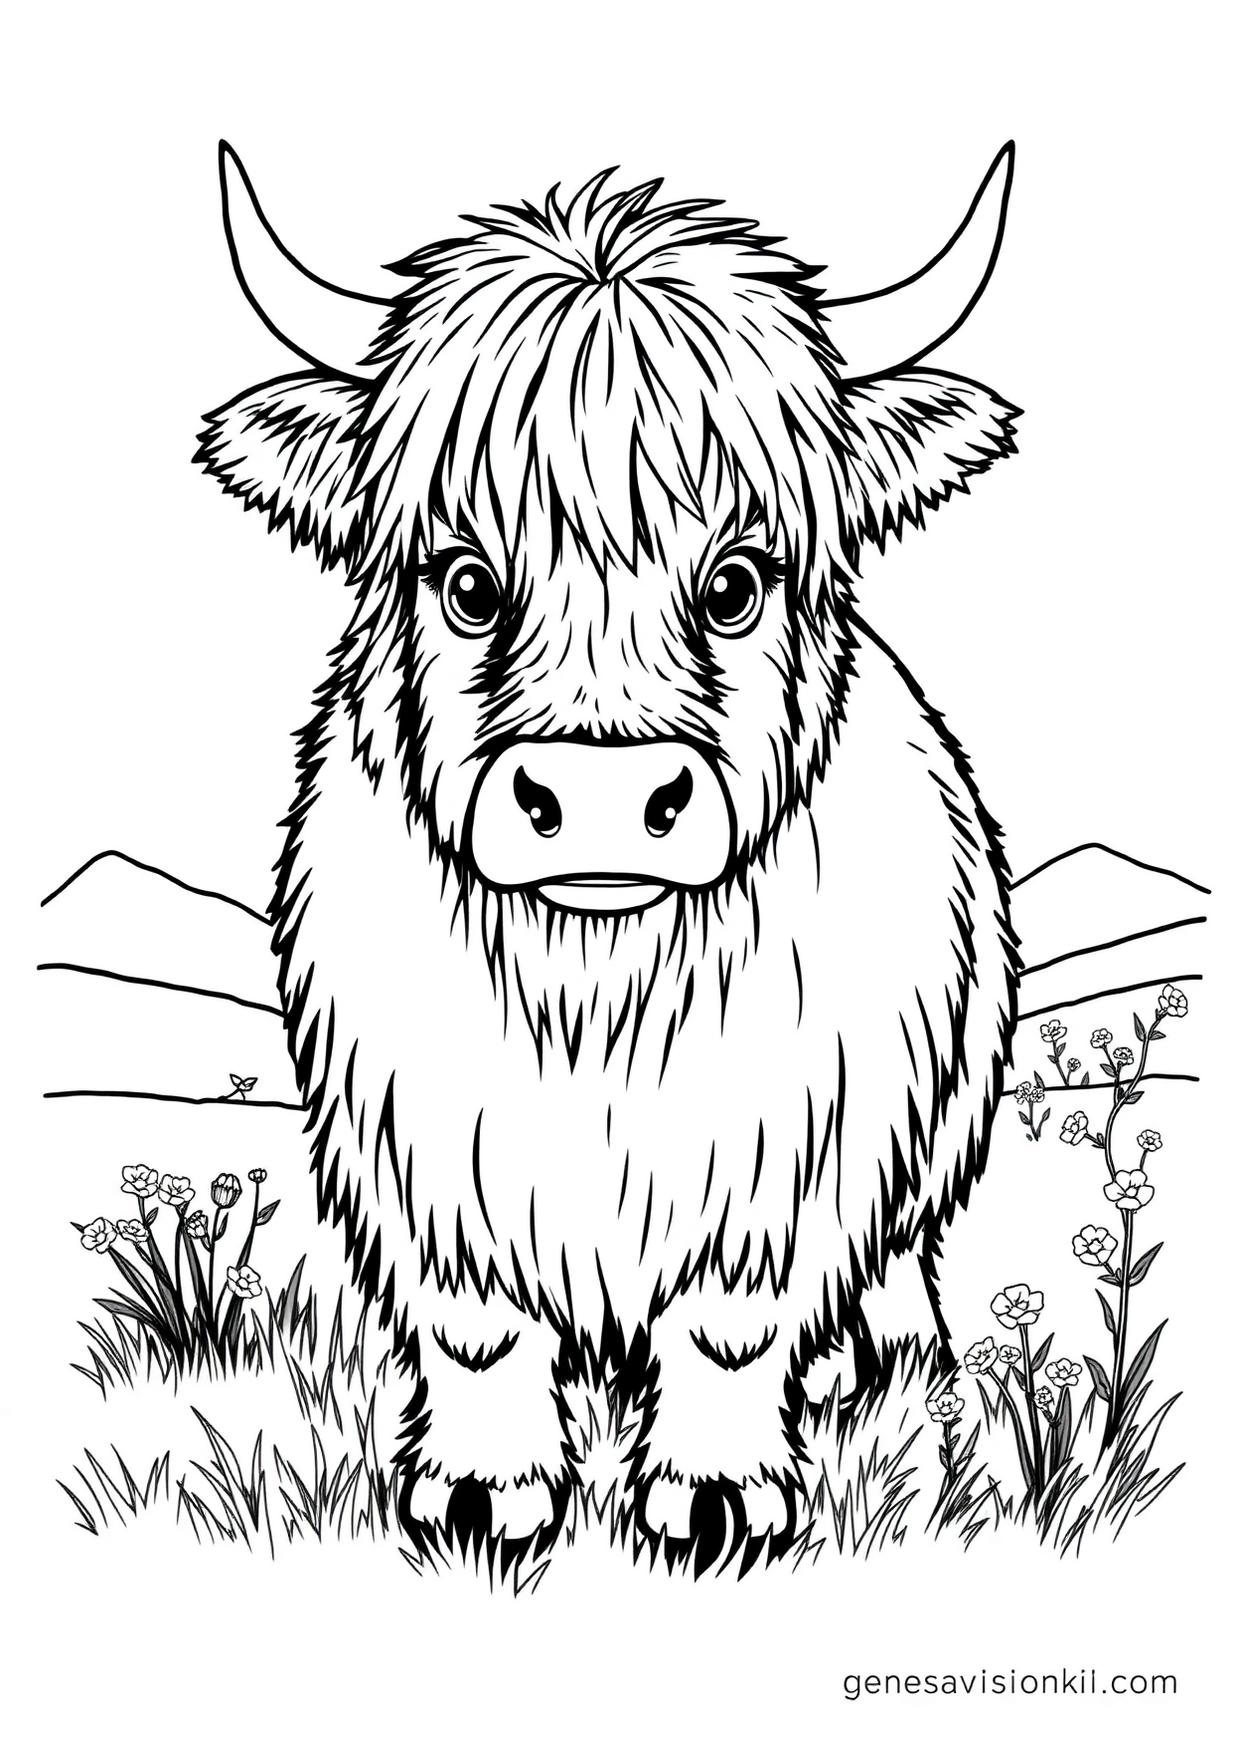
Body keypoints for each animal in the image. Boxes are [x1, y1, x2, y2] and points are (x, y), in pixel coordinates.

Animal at [197, 144, 1020, 1567]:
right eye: (467, 581)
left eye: (736, 580)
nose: (598, 792)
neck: (597, 1004)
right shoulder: (427, 1151)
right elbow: (478, 1335)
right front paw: (482, 1491)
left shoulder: (781, 1159)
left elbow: (729, 1330)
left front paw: (716, 1493)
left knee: (902, 1248)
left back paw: (875, 1358)